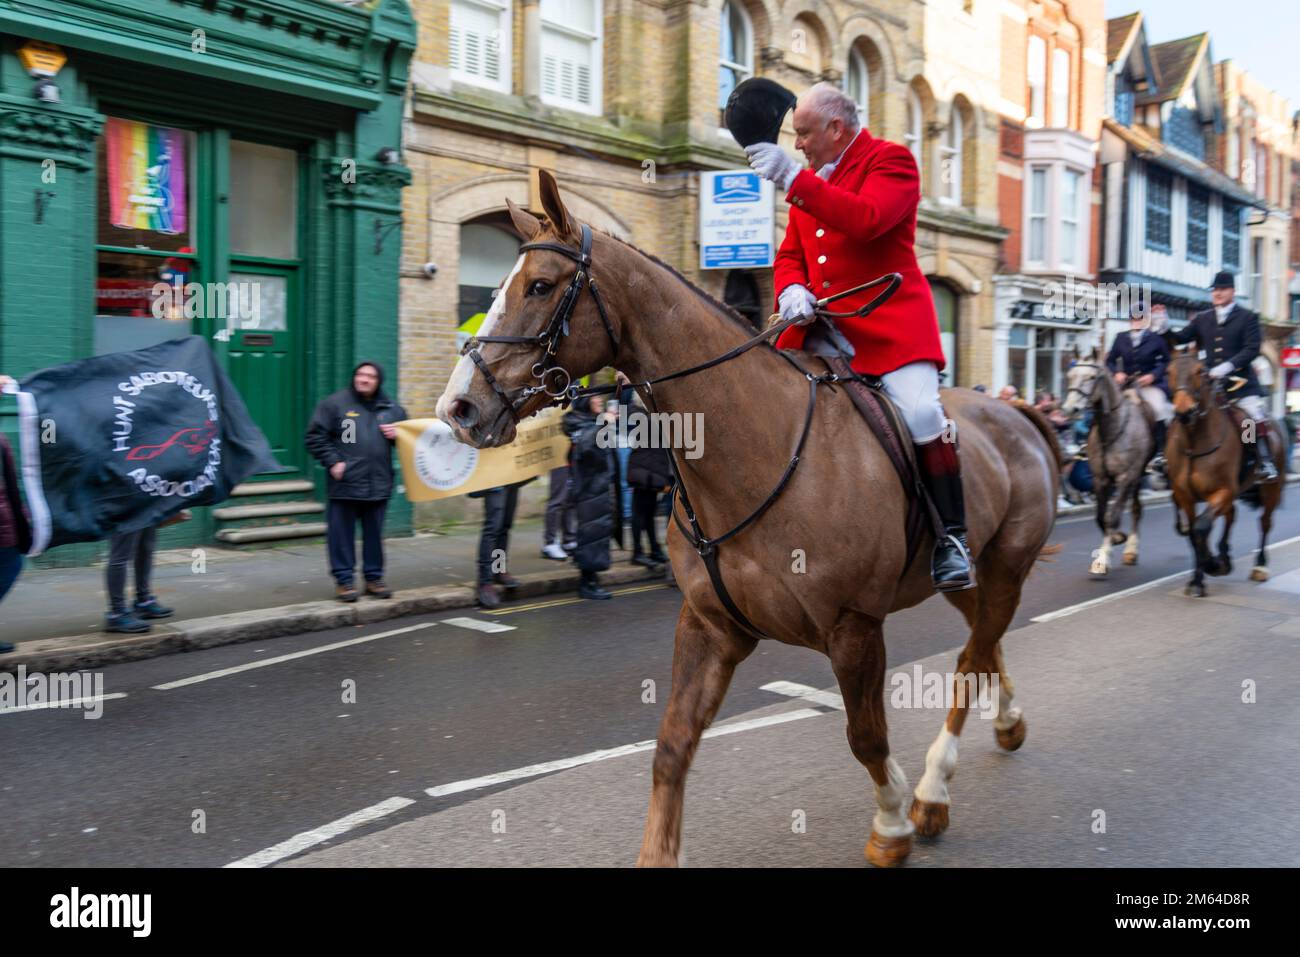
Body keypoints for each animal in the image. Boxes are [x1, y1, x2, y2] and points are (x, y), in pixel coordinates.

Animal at [439, 171, 1066, 868]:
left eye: (541, 286)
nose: (458, 407)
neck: (754, 448)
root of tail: (1018, 411)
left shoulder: (853, 628)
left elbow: (866, 737)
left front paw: (893, 822)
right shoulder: (710, 626)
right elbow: (672, 746)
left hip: (1005, 566)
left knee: (970, 660)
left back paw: (932, 789)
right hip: (965, 577)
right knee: (986, 645)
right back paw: (1004, 726)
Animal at [1060, 351, 1154, 574]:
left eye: (1092, 377)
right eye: (1070, 375)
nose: (1070, 409)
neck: (1111, 429)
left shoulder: (1125, 477)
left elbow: (1112, 516)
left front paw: (1103, 558)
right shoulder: (1100, 479)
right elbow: (1101, 516)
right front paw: (1116, 537)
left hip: (1136, 476)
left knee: (1135, 508)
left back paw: (1131, 551)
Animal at [1170, 348, 1279, 595]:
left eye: (1199, 371)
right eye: (1168, 371)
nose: (1185, 412)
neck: (1194, 443)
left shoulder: (1223, 490)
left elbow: (1201, 528)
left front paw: (1211, 564)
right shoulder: (1185, 496)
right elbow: (1194, 533)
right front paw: (1198, 579)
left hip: (1272, 489)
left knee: (1265, 522)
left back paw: (1259, 566)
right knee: (1230, 515)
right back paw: (1225, 556)